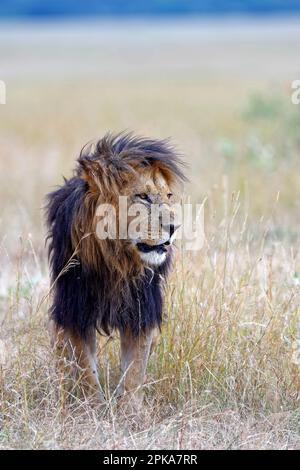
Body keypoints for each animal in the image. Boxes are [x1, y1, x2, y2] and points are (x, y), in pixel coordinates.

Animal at [45, 131, 185, 412]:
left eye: (168, 195)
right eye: (143, 196)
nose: (174, 227)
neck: (117, 262)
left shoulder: (143, 309)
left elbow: (135, 369)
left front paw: (130, 411)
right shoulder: (76, 310)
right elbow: (85, 367)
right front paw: (92, 408)